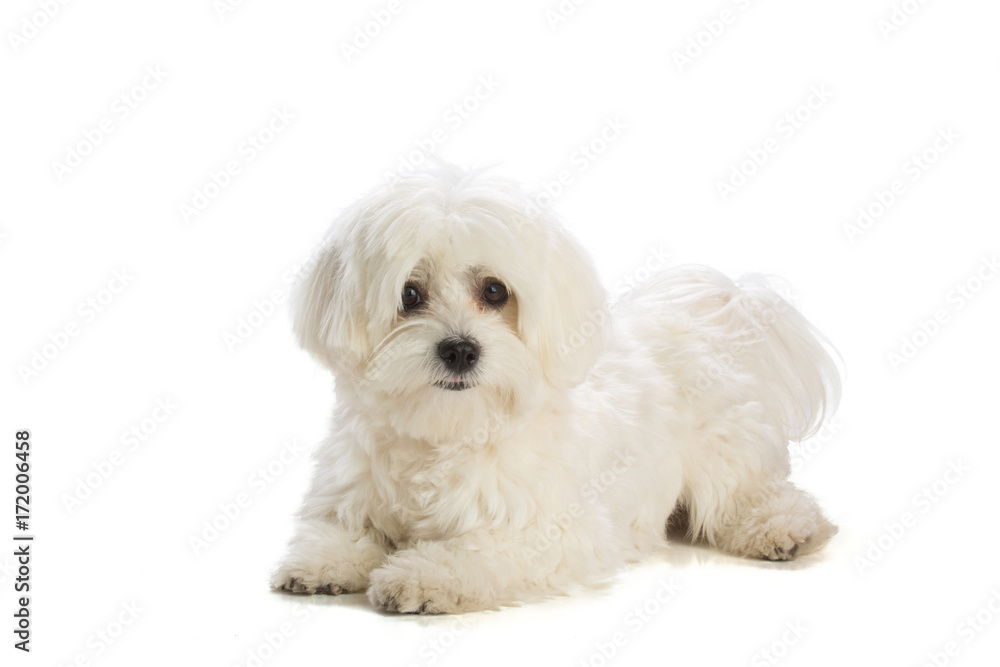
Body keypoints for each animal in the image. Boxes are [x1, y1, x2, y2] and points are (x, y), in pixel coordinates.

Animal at [270, 164, 840, 612]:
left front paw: (421, 575)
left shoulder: (551, 530)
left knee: (756, 495)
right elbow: (340, 529)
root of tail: (714, 316)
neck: (446, 432)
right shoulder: (351, 492)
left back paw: (782, 529)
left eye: (494, 291)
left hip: (724, 457)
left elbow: (477, 551)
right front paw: (322, 562)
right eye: (410, 294)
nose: (459, 349)